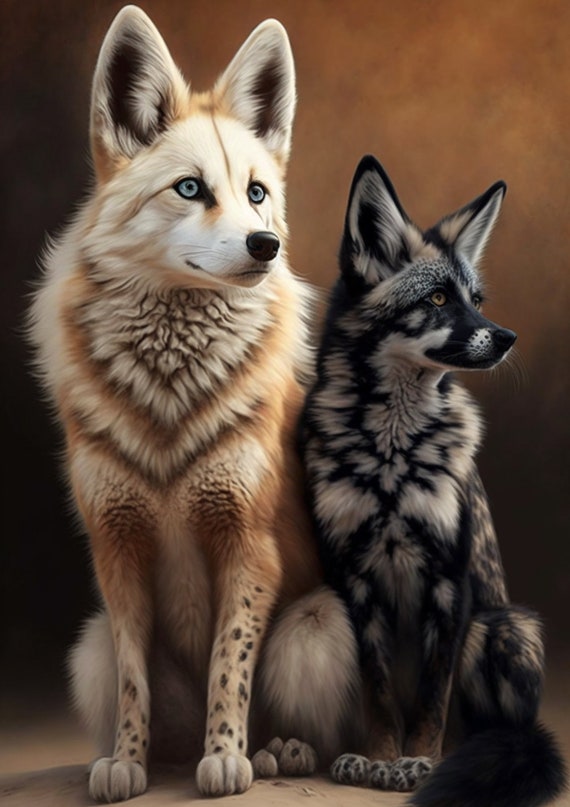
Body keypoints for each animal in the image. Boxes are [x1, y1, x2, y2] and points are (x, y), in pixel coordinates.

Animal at [27, 6, 360, 802]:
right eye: (188, 189)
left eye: (258, 192)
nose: (266, 245)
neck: (171, 394)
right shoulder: (116, 548)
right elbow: (134, 678)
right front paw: (128, 761)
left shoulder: (249, 543)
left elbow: (228, 666)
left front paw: (228, 756)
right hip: (85, 646)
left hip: (314, 625)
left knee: (306, 728)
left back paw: (276, 751)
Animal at [300, 155, 567, 807]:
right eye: (440, 298)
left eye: (476, 298)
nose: (508, 338)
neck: (392, 458)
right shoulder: (354, 581)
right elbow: (380, 695)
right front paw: (379, 759)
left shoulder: (450, 581)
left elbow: (432, 699)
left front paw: (418, 763)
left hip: (502, 628)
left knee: (493, 729)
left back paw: (477, 757)